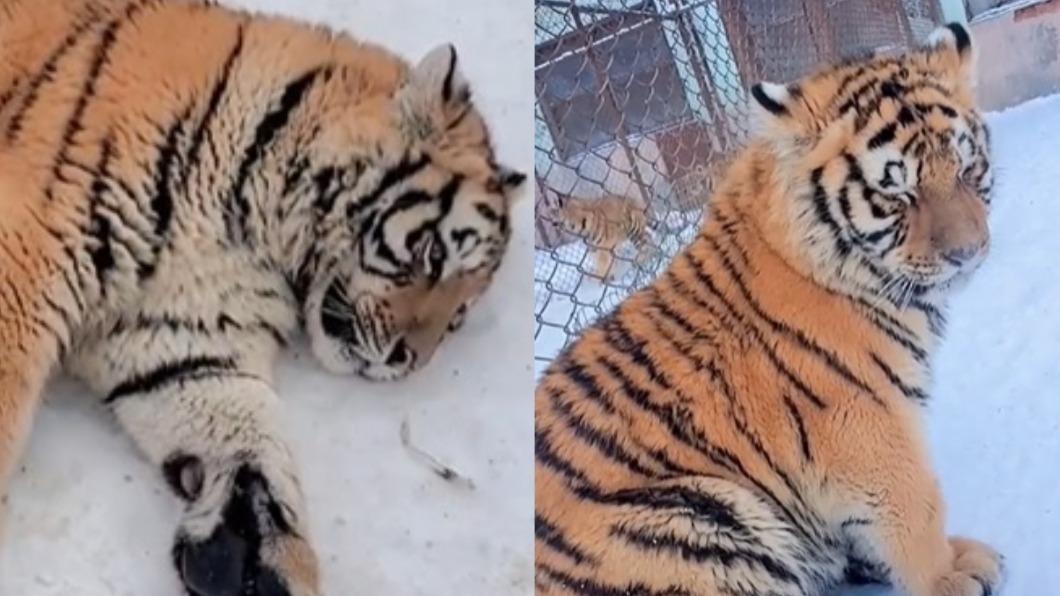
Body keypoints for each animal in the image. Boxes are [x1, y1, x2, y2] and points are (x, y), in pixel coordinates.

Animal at [0, 0, 525, 594]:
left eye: (457, 320)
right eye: (435, 255)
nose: (405, 360)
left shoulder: (180, 329)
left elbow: (244, 425)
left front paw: (251, 555)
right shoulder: (28, 254)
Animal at [535, 22, 1002, 596]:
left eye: (967, 169)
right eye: (896, 195)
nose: (969, 253)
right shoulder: (864, 420)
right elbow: (915, 507)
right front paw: (951, 575)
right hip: (691, 517)